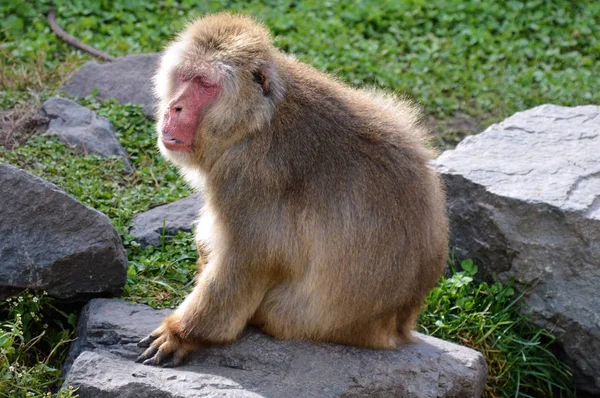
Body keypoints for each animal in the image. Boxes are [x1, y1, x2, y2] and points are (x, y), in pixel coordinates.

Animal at [136, 11, 446, 366]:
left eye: (205, 84)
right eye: (185, 77)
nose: (174, 107)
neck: (254, 122)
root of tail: (397, 325)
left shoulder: (249, 176)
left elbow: (245, 264)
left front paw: (182, 335)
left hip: (295, 320)